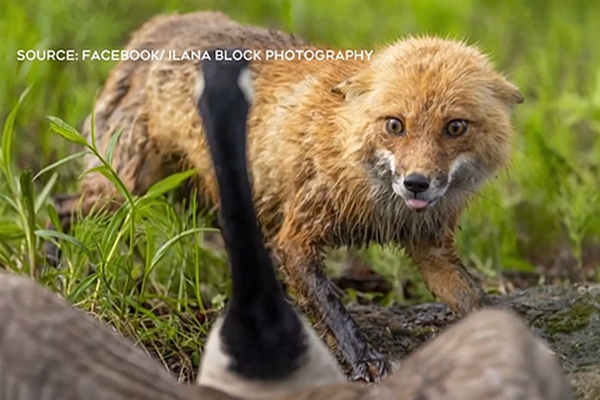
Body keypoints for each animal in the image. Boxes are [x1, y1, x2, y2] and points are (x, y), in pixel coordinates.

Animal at [47, 11, 524, 382]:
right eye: (395, 124)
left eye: (455, 127)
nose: (417, 182)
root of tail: (162, 23)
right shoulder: (298, 234)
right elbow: (332, 307)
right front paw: (363, 358)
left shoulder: (431, 246)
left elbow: (475, 300)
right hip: (125, 189)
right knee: (58, 206)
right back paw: (54, 266)